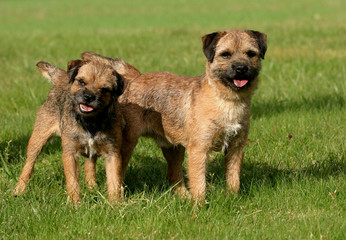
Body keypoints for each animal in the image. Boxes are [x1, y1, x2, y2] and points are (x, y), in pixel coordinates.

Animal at [113, 30, 268, 202]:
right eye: (225, 55)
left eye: (251, 54)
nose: (241, 68)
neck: (227, 100)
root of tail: (135, 78)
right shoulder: (199, 149)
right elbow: (199, 181)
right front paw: (200, 204)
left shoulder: (236, 147)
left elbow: (233, 177)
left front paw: (232, 198)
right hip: (127, 143)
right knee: (119, 173)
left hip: (174, 148)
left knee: (173, 176)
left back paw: (185, 197)